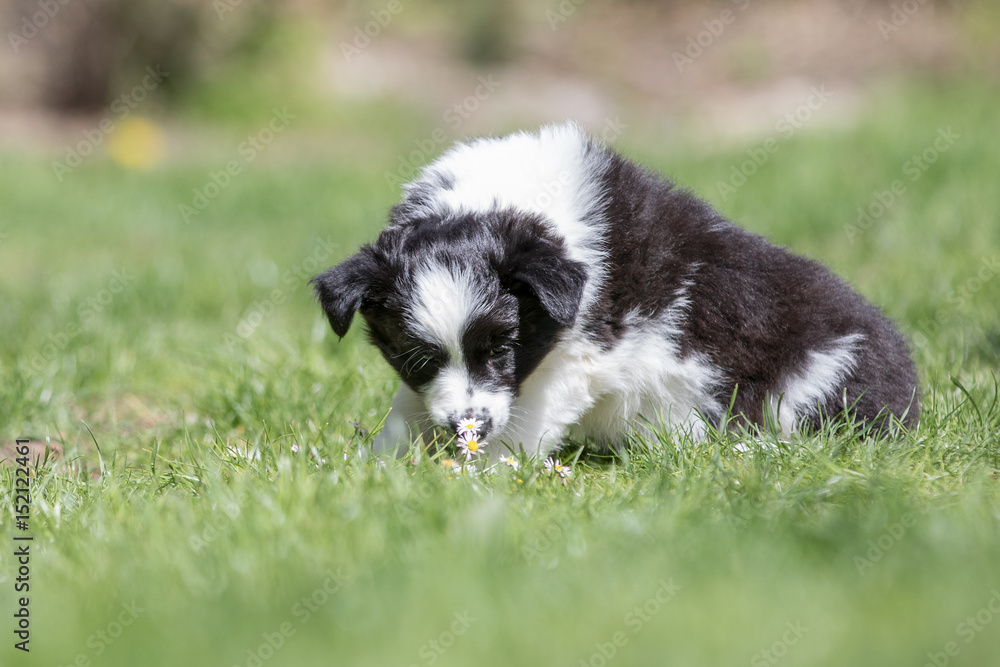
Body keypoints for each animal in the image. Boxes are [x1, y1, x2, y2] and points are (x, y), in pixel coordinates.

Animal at [310, 122, 916, 460]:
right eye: (415, 357)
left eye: (503, 349)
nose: (468, 430)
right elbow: (407, 407)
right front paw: (378, 467)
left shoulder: (573, 357)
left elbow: (528, 418)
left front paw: (483, 470)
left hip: (818, 378)